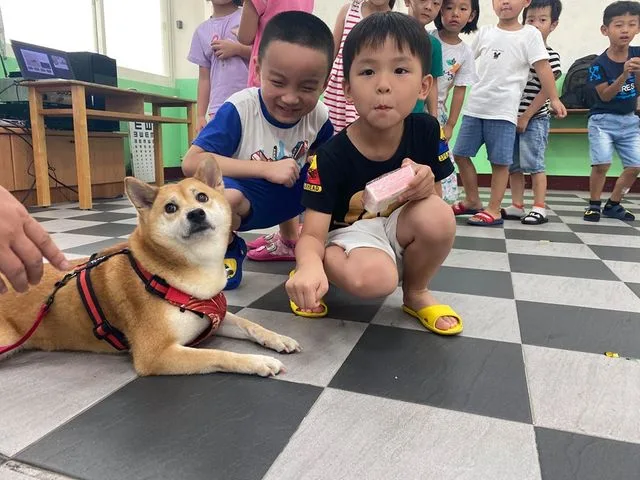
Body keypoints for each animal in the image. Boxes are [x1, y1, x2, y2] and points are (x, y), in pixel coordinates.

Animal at [0, 159, 302, 376]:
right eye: (170, 208)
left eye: (202, 198)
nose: (196, 214)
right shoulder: (157, 354)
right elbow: (220, 355)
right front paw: (258, 361)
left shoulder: (213, 317)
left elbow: (251, 324)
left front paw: (277, 339)